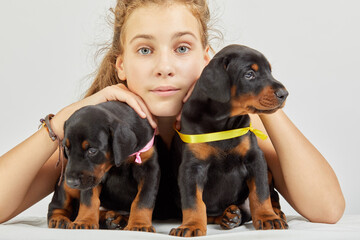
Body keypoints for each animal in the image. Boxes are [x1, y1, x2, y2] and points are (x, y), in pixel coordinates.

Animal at [47, 100, 159, 232]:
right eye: (66, 148)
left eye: (92, 150)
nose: (71, 182)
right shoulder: (92, 177)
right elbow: (89, 199)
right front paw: (85, 221)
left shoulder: (148, 167)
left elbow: (143, 199)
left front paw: (139, 224)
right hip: (64, 184)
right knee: (57, 205)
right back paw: (58, 219)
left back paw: (116, 218)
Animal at [171, 44, 290, 236]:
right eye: (249, 74)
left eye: (270, 71)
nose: (284, 94)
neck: (223, 124)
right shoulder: (192, 167)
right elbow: (193, 201)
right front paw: (191, 225)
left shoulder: (255, 158)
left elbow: (260, 192)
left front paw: (268, 217)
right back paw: (228, 217)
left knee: (272, 196)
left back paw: (275, 213)